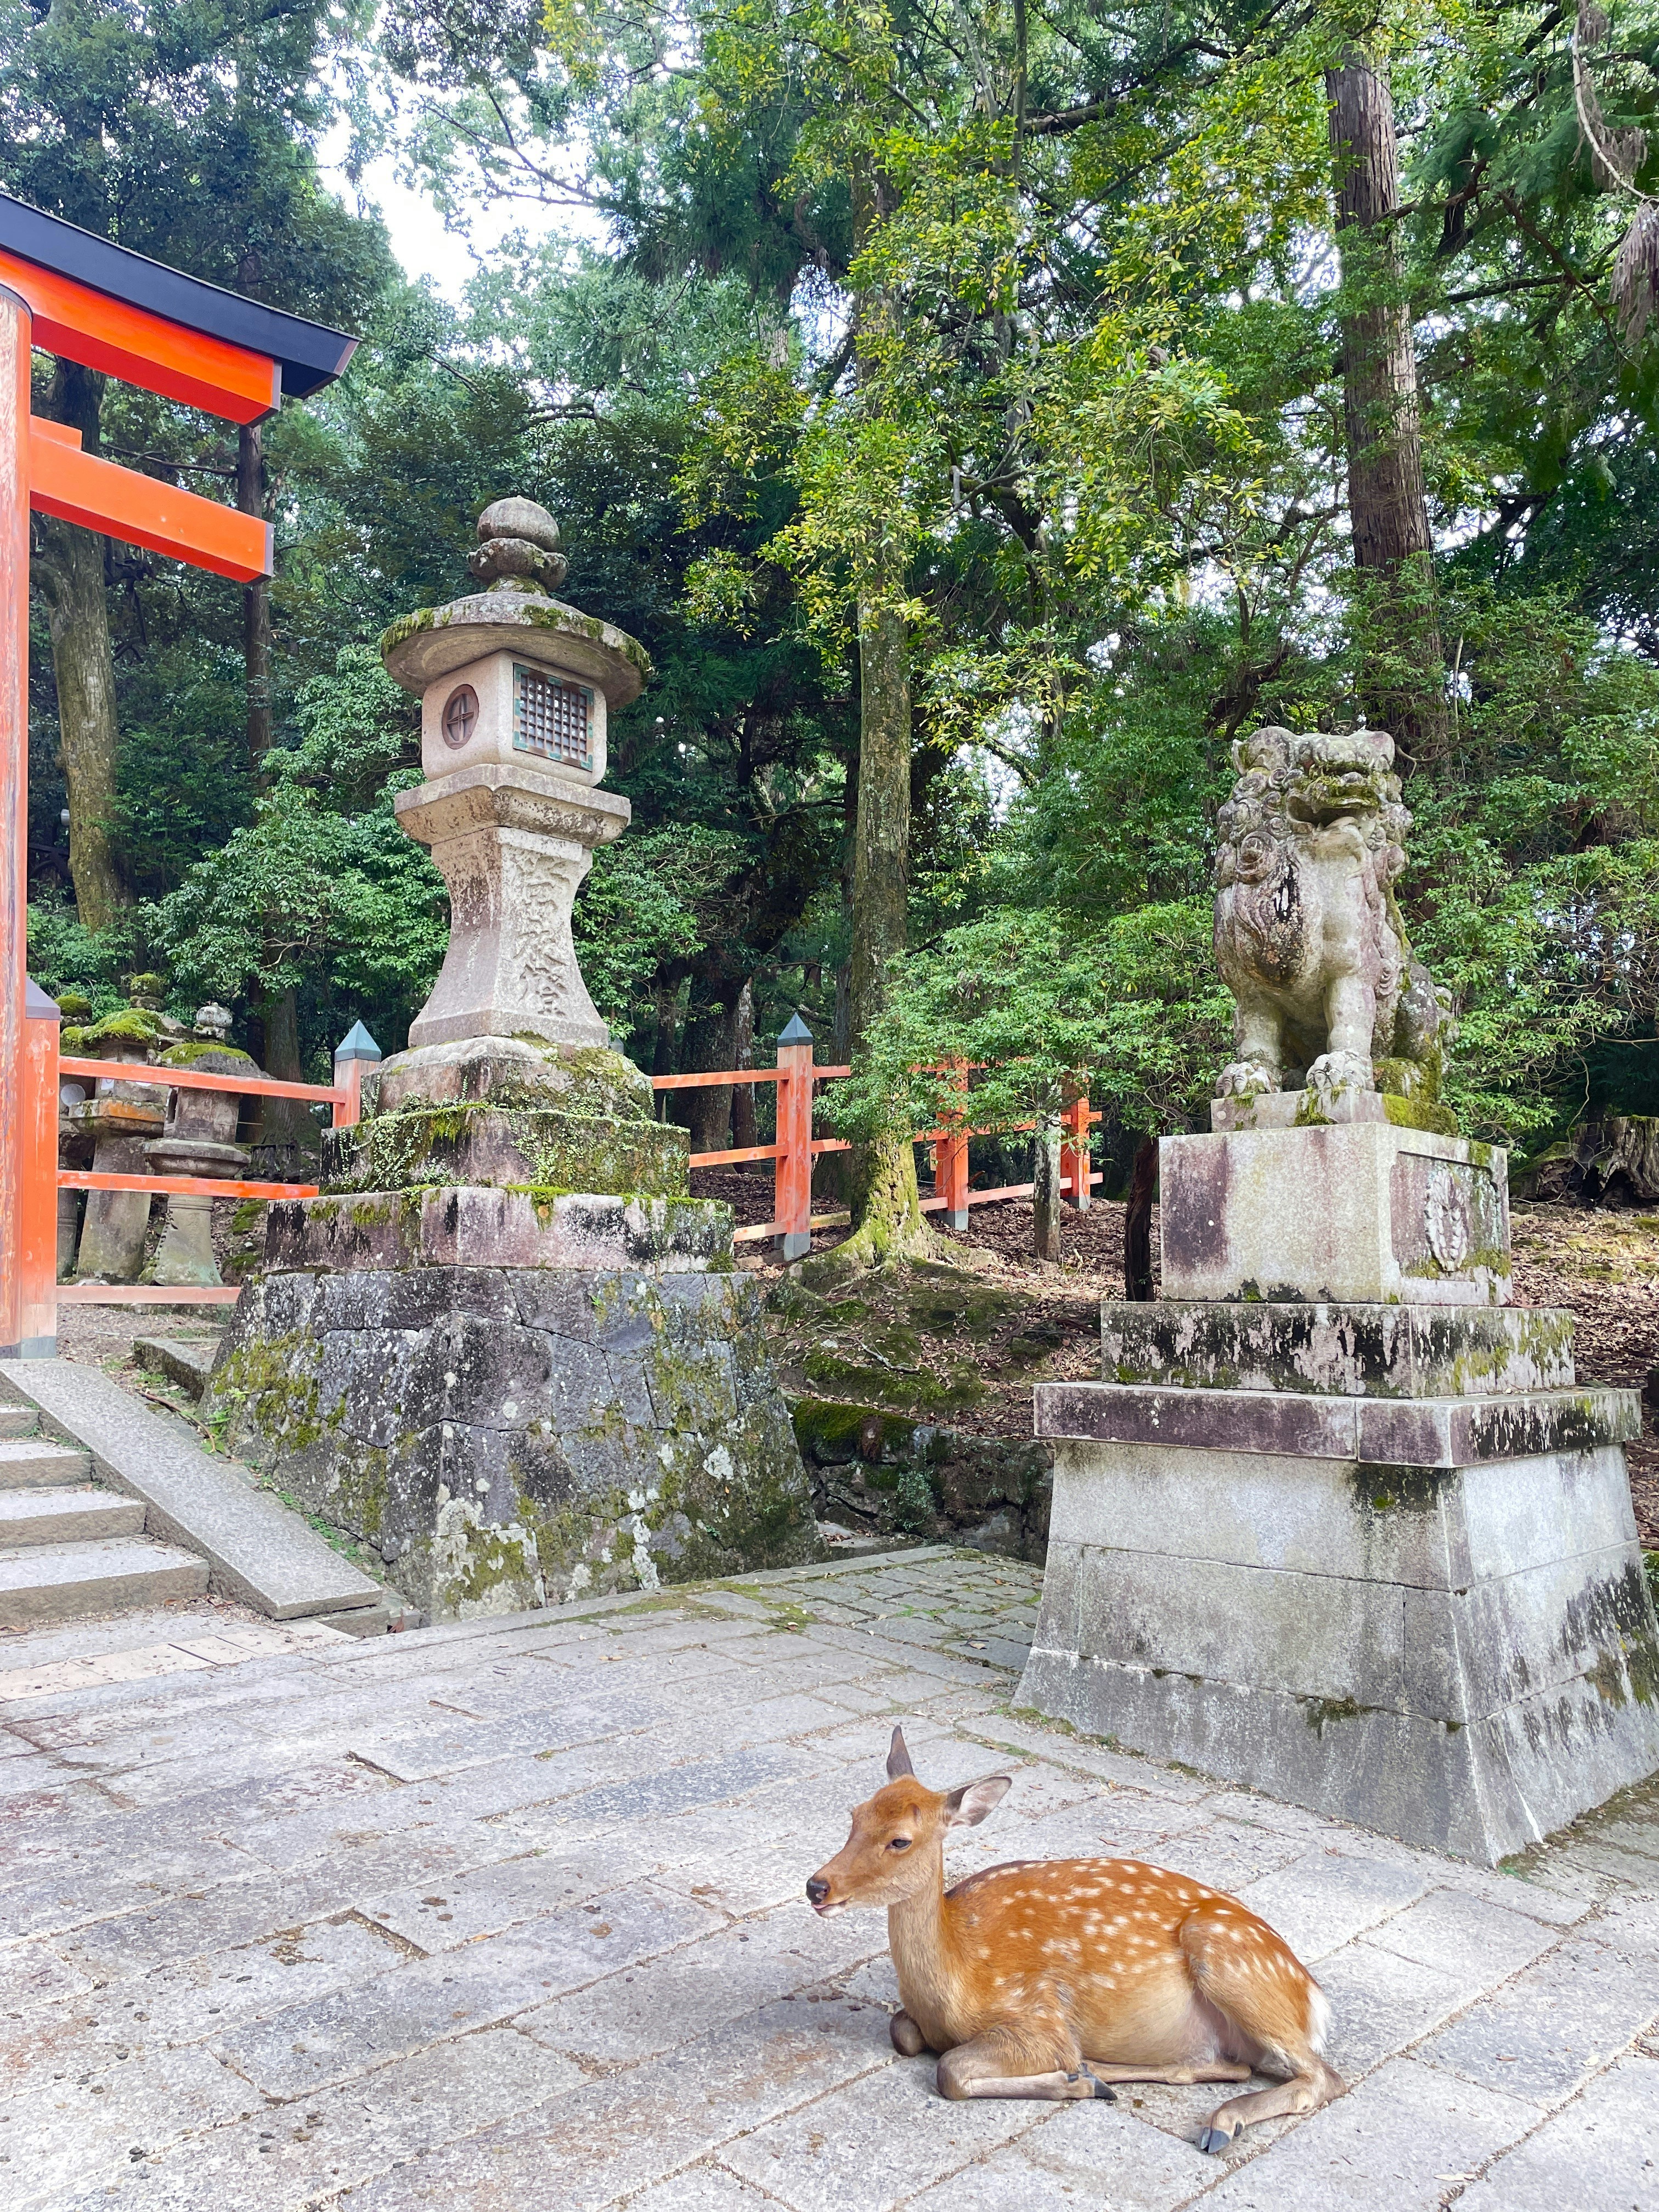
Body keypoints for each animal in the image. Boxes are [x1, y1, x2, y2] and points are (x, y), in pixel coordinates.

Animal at [805, 1727, 1343, 2154]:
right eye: (855, 1815)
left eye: (900, 1840)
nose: (817, 1887)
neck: (958, 1979)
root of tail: (1314, 1999)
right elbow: (903, 2032)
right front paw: (1080, 2079)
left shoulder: (1038, 2015)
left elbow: (951, 2070)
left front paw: (1070, 2081)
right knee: (1233, 2066)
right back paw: (1101, 2074)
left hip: (1230, 1958)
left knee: (1321, 2077)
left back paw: (1218, 2123)